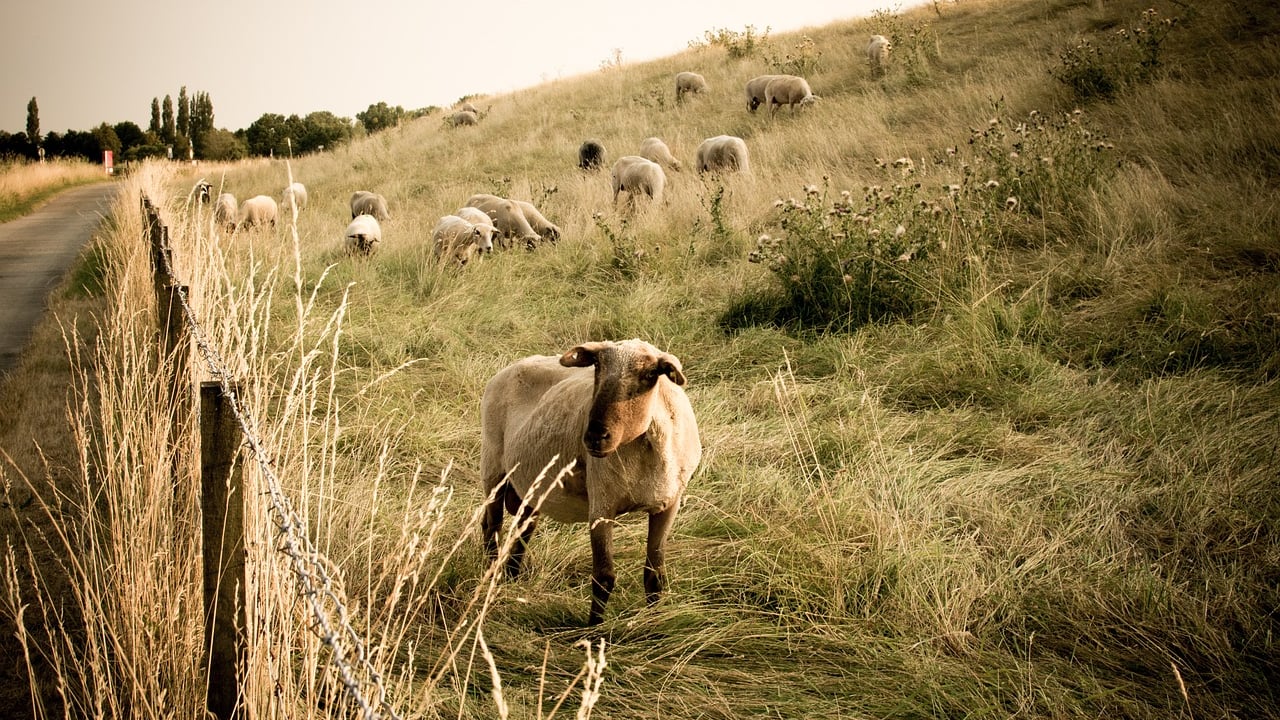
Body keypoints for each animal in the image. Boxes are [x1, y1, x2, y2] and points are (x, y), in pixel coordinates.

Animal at [479, 339, 702, 625]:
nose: (595, 435)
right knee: (492, 527)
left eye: (651, 374)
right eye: (597, 365)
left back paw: (511, 577)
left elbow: (655, 575)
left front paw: (654, 620)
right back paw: (491, 577)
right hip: (493, 468)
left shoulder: (668, 505)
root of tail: (511, 367)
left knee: (523, 530)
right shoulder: (601, 506)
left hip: (531, 484)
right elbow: (603, 577)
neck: (644, 449)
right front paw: (594, 629)